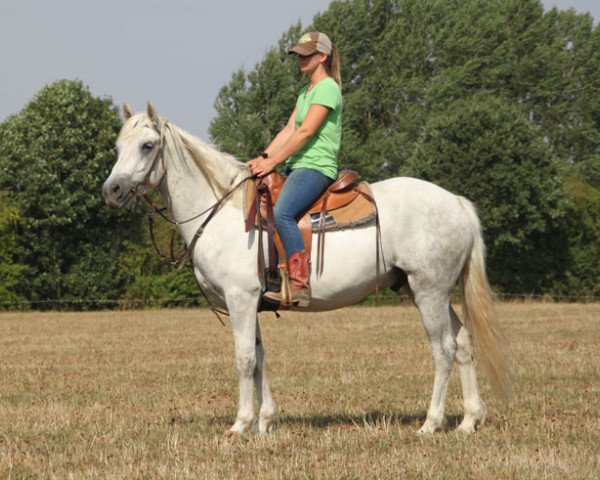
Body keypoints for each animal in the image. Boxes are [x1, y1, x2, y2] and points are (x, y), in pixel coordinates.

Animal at [102, 101, 510, 436]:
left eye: (147, 146)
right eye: (119, 147)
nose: (112, 190)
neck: (225, 211)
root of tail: (456, 203)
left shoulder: (240, 298)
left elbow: (244, 359)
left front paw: (241, 424)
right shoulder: (253, 302)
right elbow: (260, 358)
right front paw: (265, 422)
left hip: (428, 291)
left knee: (443, 348)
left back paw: (431, 423)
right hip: (429, 291)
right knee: (462, 342)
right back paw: (469, 421)